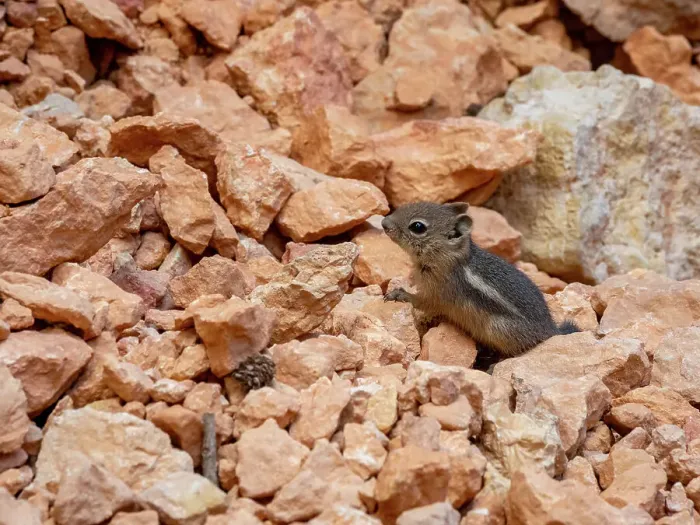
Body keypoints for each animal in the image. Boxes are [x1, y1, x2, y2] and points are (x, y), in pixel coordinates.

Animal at [382, 201, 579, 361]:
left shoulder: (438, 295)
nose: (384, 223)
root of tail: (551, 330)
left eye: (417, 226)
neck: (449, 258)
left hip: (498, 329)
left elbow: (421, 302)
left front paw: (399, 294)